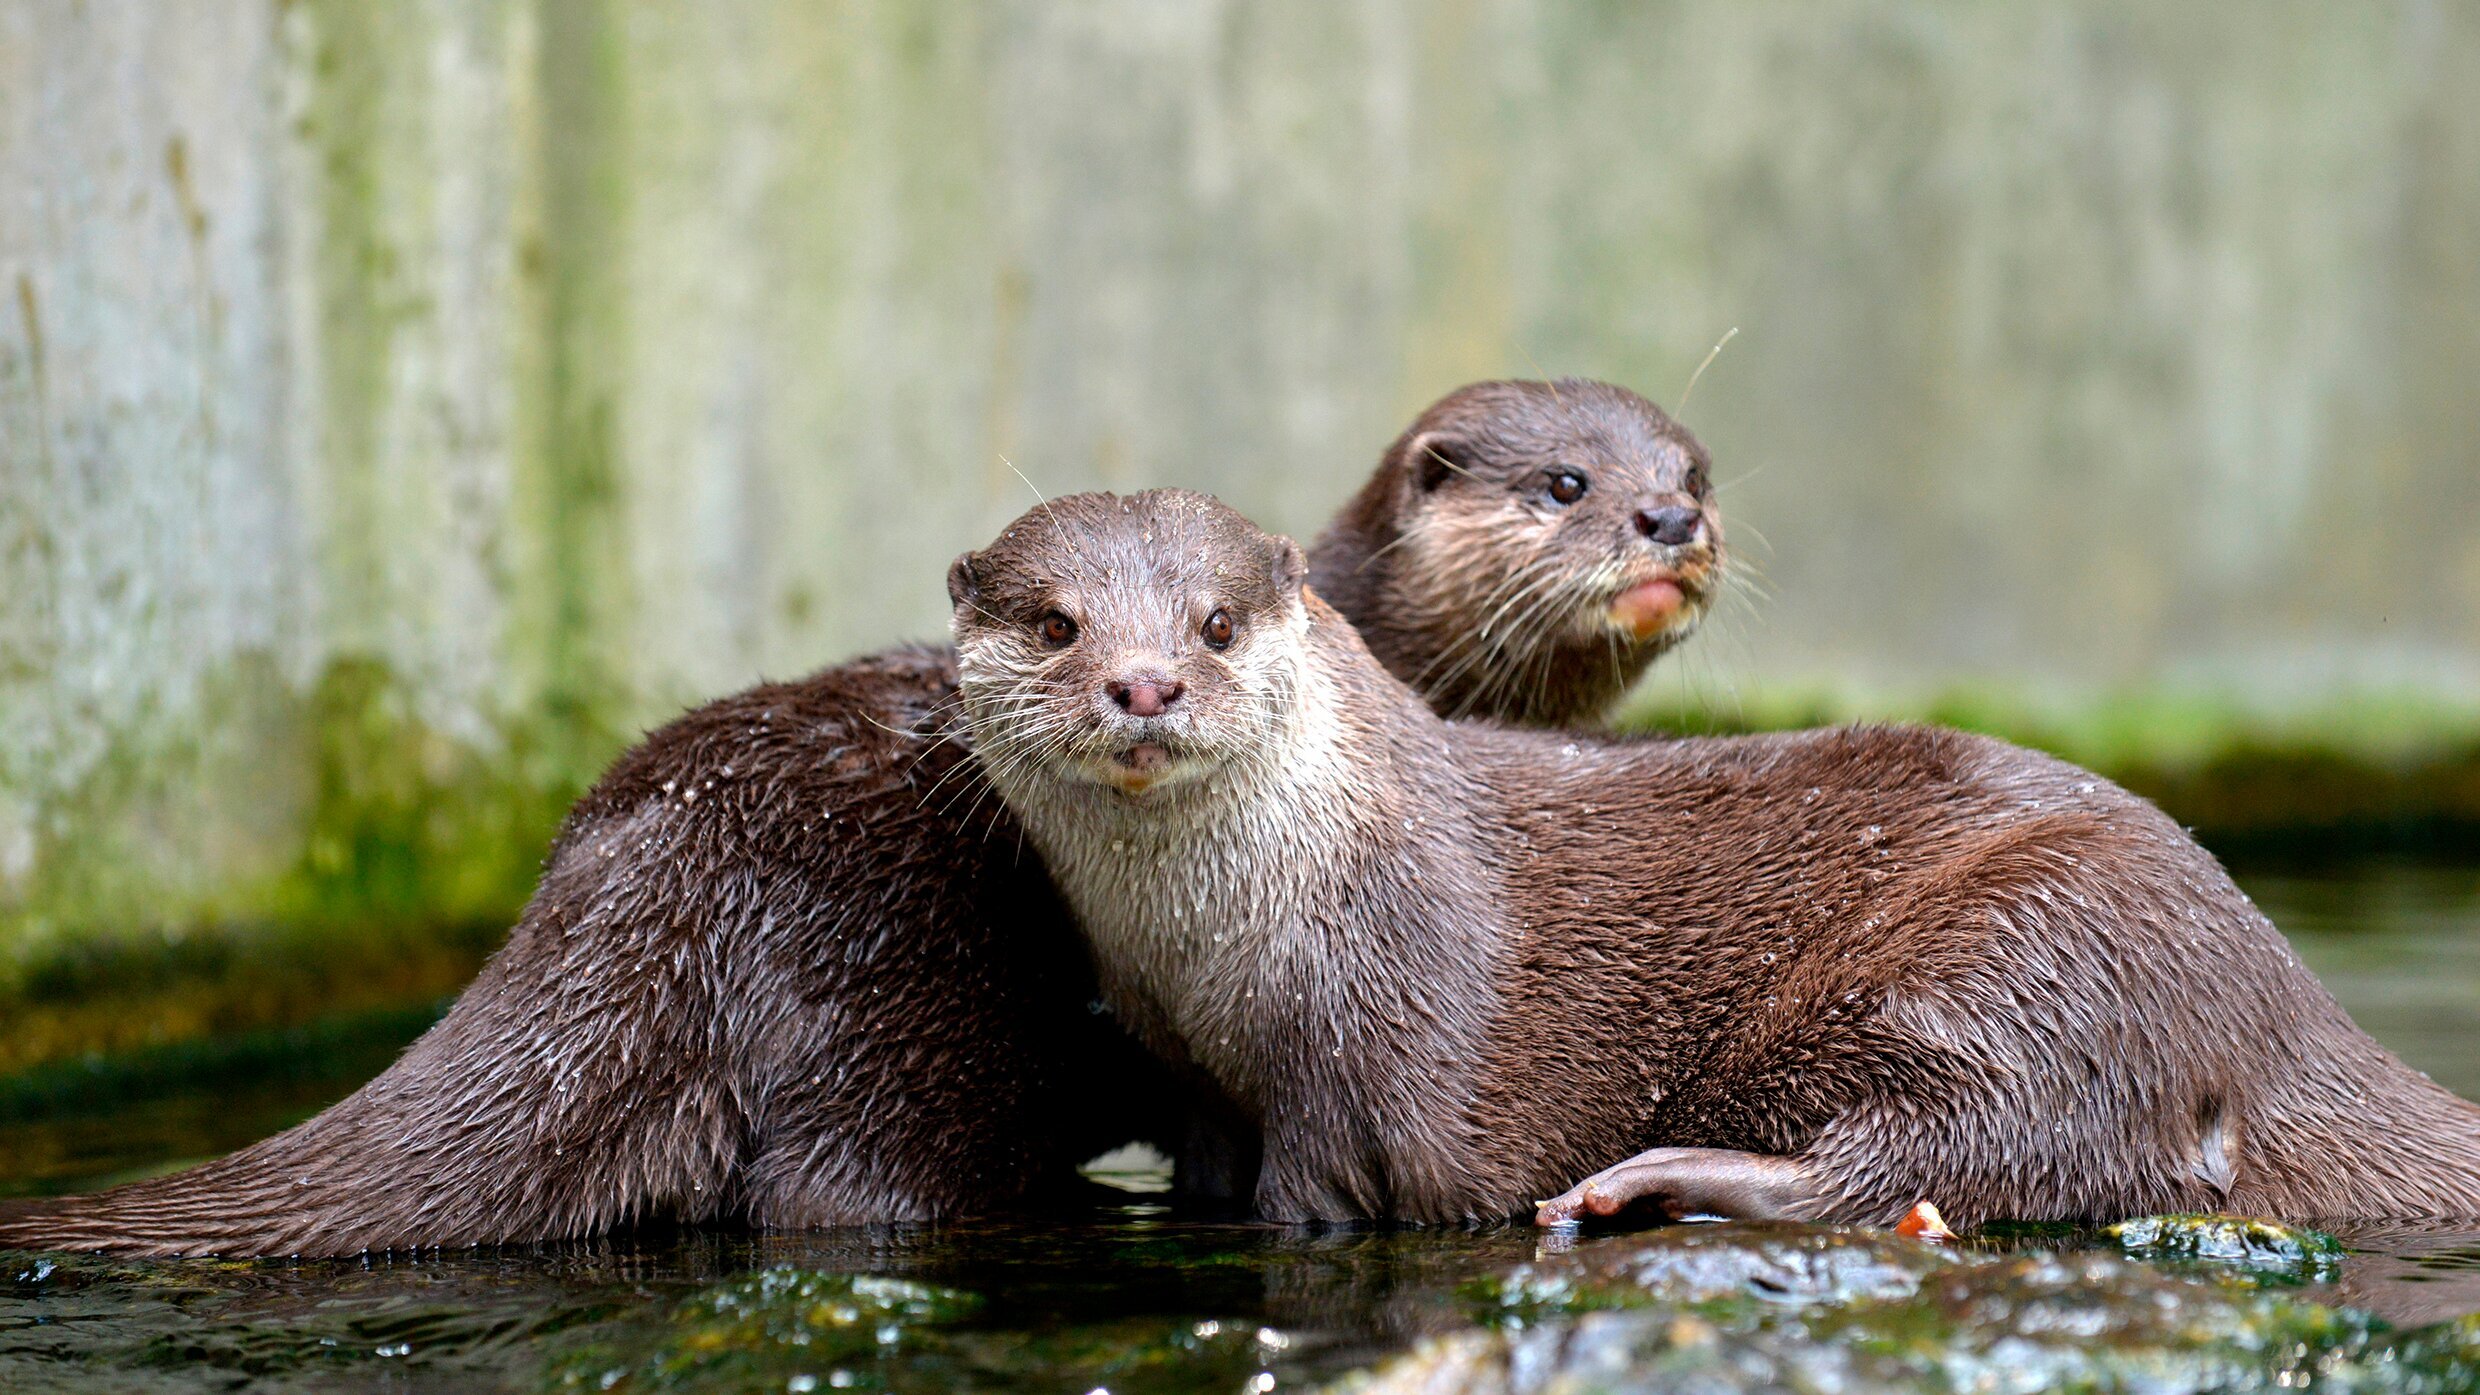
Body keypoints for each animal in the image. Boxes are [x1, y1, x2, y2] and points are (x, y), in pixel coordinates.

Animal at [948, 488, 2480, 1229]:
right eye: (1053, 622)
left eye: (1213, 623)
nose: (1143, 683)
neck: (1220, 952)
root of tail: (2283, 1000)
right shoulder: (1186, 1068)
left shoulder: (1371, 1035)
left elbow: (1333, 1192)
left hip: (2024, 951)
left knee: (1940, 1162)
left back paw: (1663, 1175)